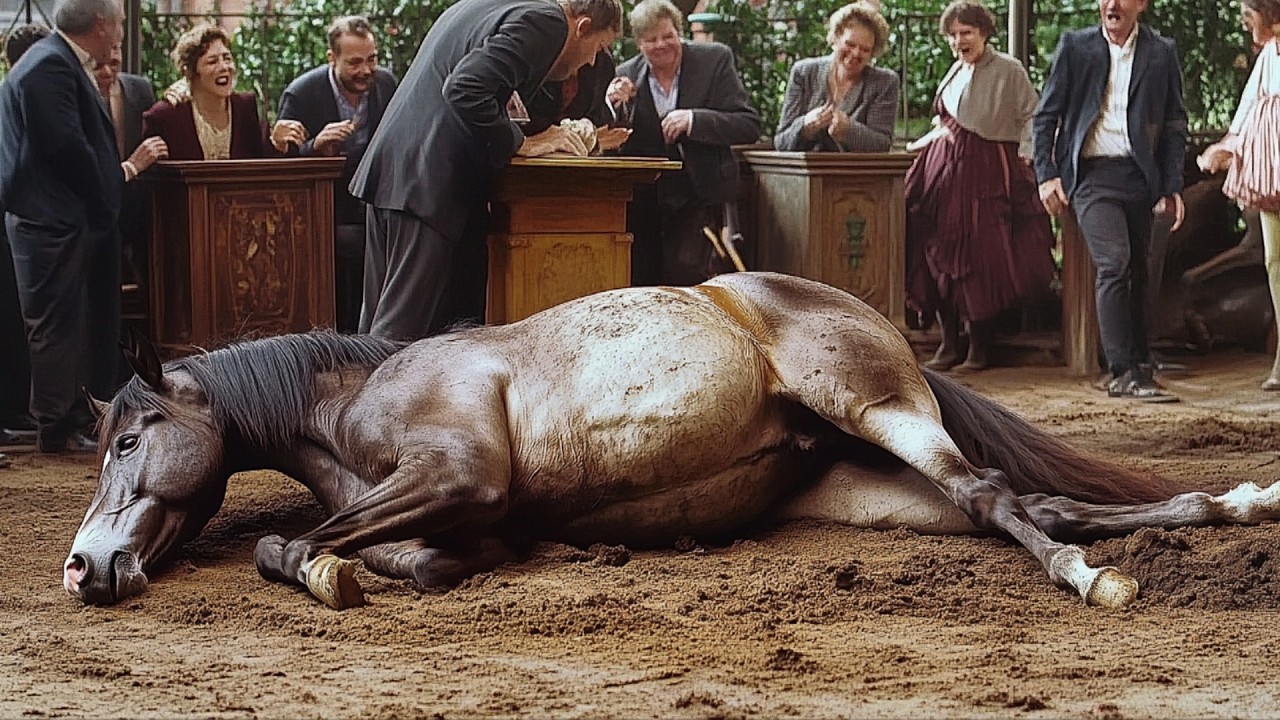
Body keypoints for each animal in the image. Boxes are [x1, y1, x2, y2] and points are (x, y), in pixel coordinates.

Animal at [65, 272, 1280, 611]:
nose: (81, 567)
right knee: (1033, 503)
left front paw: (330, 571)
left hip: (876, 411)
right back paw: (1224, 507)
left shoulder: (459, 473)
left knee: (995, 498)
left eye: (130, 438)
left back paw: (1090, 579)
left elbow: (304, 543)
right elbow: (379, 546)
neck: (361, 394)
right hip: (866, 489)